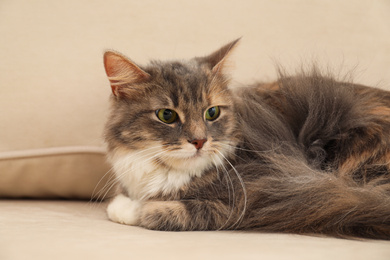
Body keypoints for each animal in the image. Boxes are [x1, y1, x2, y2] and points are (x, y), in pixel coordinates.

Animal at [101, 38, 390, 240]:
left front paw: (134, 209)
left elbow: (162, 212)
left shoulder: (253, 198)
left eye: (212, 112)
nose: (199, 141)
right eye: (166, 115)